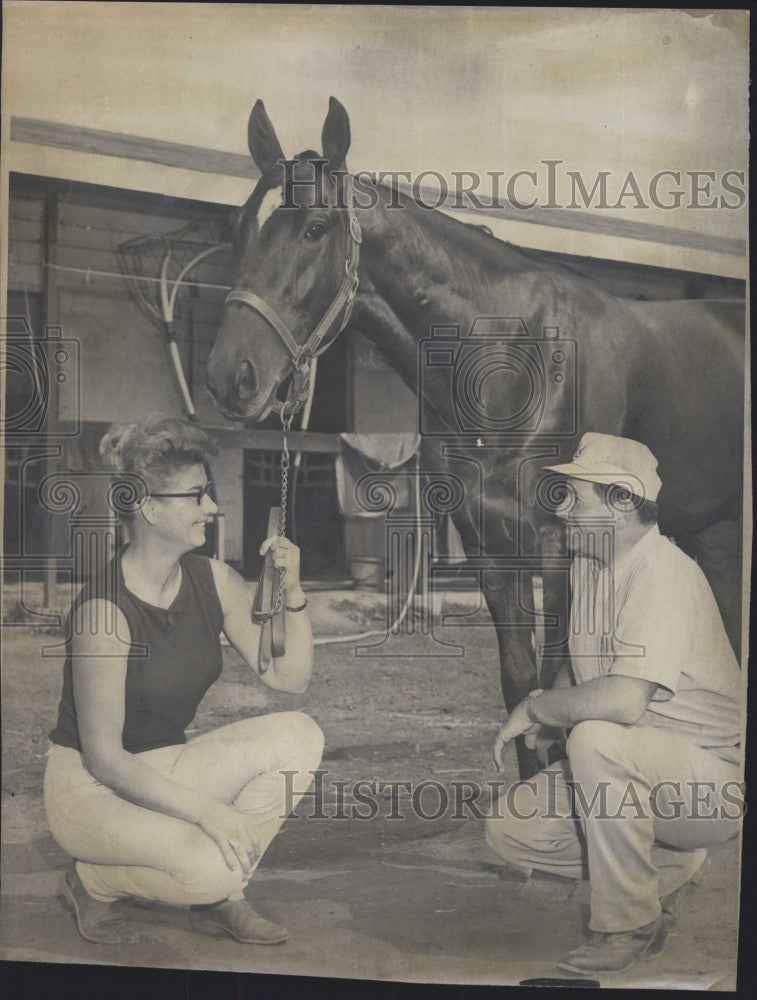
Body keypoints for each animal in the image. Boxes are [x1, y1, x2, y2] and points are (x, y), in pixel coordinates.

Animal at [207, 95, 744, 780]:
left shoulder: (560, 545)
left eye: (316, 228)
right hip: (713, 528)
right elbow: (520, 683)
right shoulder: (488, 542)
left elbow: (556, 682)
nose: (232, 377)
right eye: (238, 226)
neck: (507, 356)